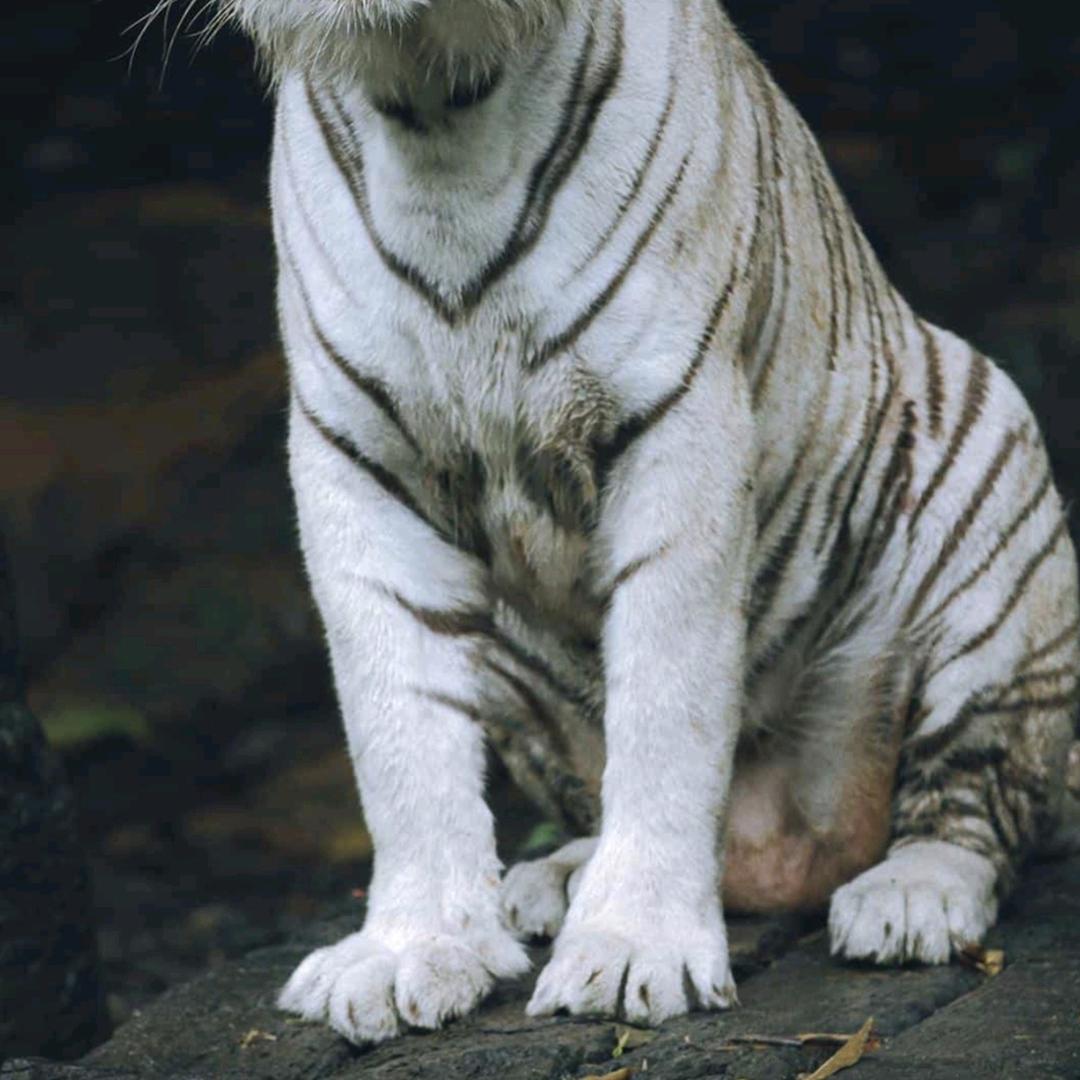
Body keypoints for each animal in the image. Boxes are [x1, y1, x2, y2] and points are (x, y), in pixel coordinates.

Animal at [205, 0, 1080, 1045]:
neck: (432, 109)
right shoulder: (357, 454)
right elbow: (397, 731)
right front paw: (413, 948)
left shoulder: (673, 424)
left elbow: (666, 706)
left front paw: (632, 949)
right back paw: (556, 879)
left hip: (995, 469)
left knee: (976, 804)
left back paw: (910, 898)